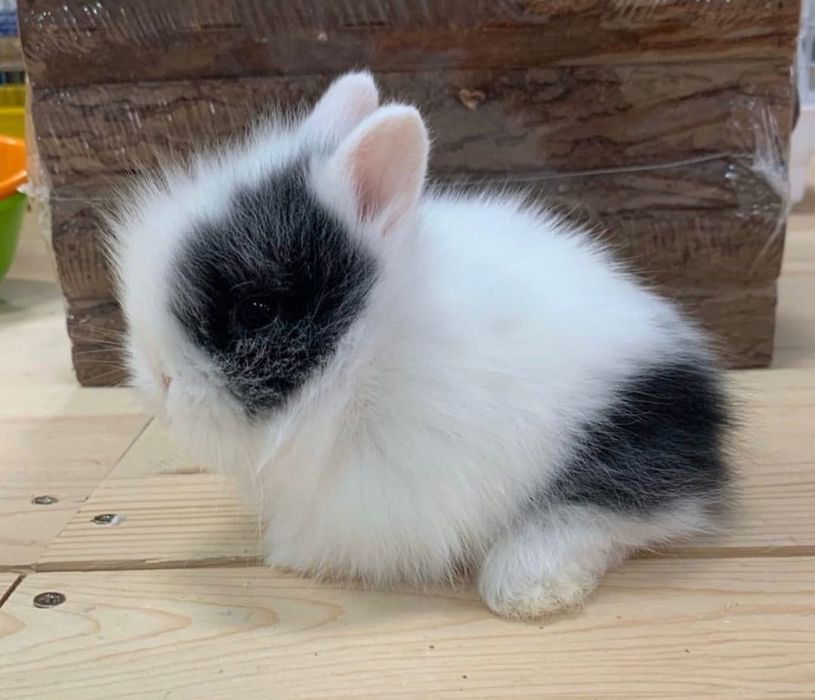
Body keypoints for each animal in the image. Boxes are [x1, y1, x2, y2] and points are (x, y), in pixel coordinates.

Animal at [109, 71, 730, 619]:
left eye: (257, 312)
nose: (158, 381)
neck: (372, 360)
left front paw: (288, 553)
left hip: (619, 436)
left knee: (627, 509)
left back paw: (524, 589)